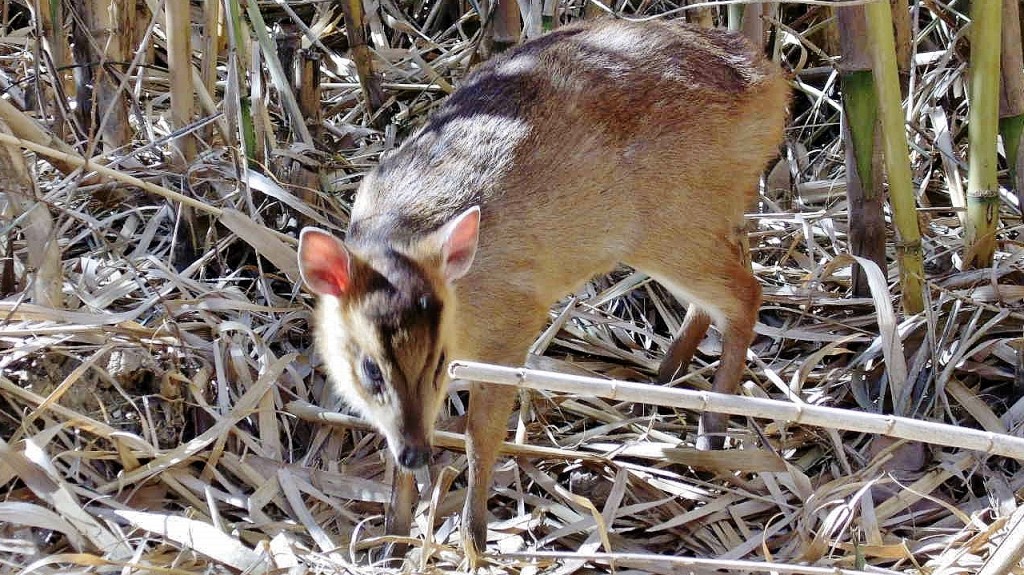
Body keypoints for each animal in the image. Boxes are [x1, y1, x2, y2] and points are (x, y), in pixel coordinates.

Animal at [299, 17, 790, 556]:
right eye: (370, 369)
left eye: (439, 362)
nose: (416, 454)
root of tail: (769, 83)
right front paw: (394, 532)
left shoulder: (511, 328)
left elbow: (480, 434)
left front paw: (473, 538)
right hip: (701, 222)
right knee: (722, 289)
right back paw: (665, 374)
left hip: (674, 224)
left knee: (747, 293)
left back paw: (711, 431)